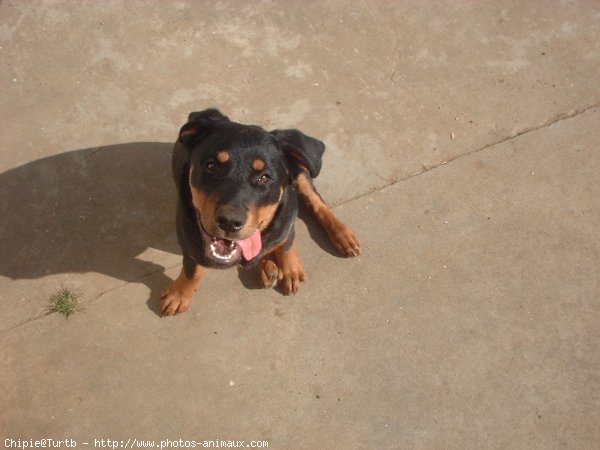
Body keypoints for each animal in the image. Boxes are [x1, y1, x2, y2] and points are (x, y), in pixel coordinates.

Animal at [161, 108, 360, 316]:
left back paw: (342, 235)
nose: (229, 222)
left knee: (315, 201)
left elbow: (287, 242)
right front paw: (179, 295)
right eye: (211, 166)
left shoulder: (286, 221)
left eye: (265, 177)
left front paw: (291, 267)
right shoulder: (189, 243)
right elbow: (192, 270)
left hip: (302, 173)